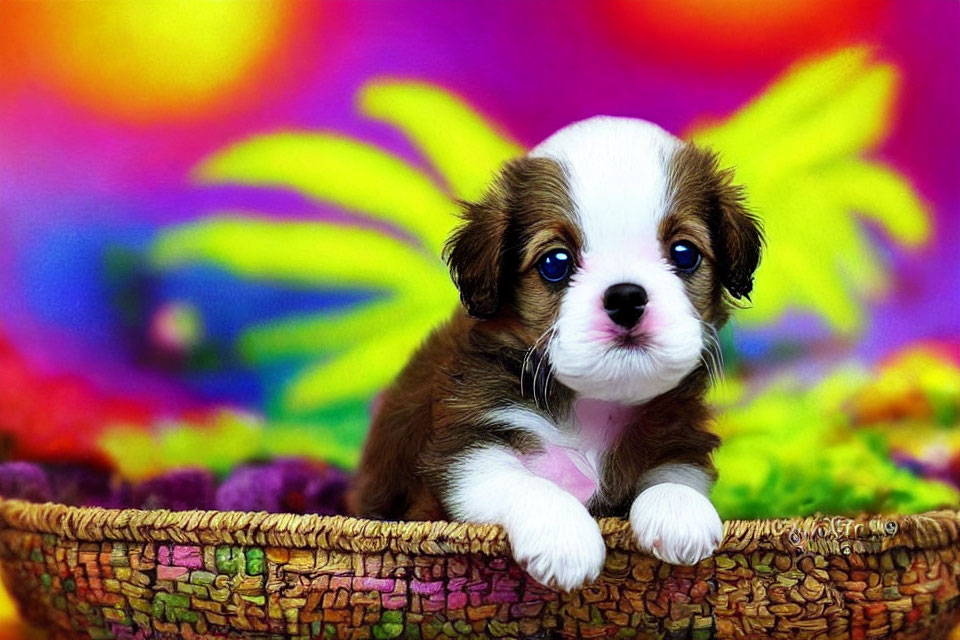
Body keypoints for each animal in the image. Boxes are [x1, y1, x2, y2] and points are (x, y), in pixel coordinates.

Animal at [348, 116, 760, 592]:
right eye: (555, 263)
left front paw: (679, 512)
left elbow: (676, 477)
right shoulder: (462, 452)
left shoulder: (677, 440)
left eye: (685, 253)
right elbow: (525, 484)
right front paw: (565, 539)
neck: (594, 408)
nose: (626, 297)